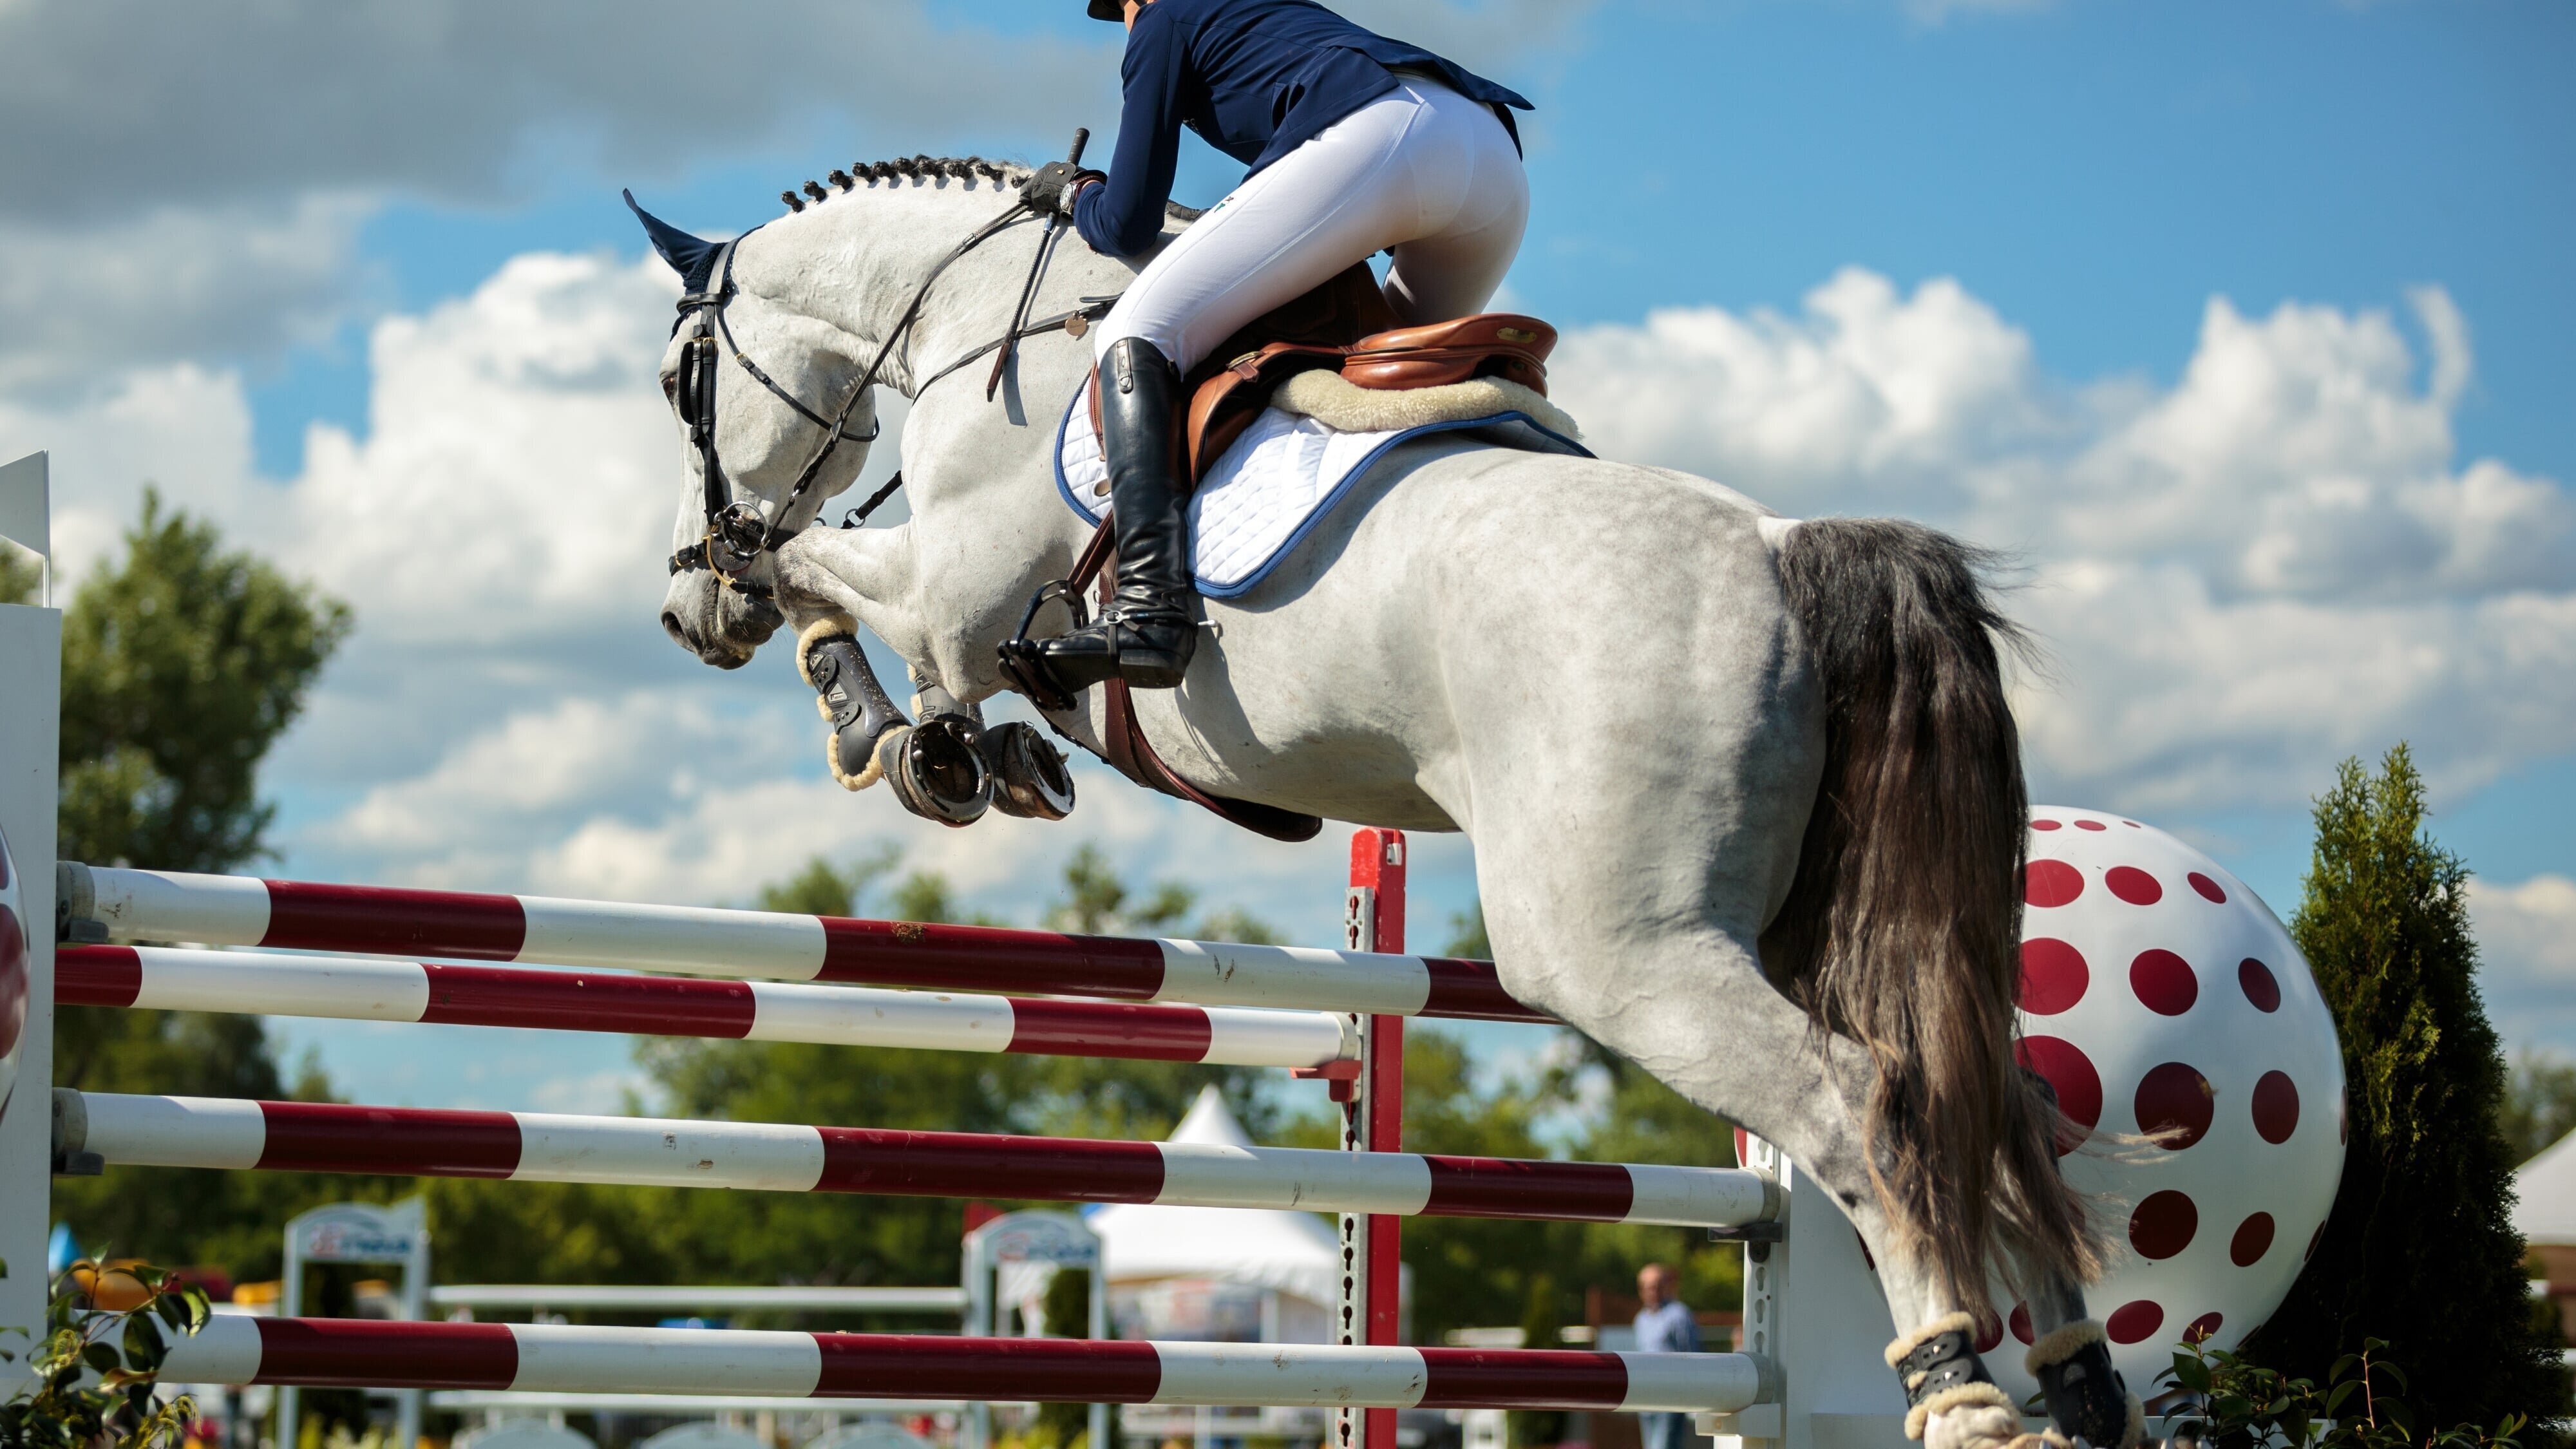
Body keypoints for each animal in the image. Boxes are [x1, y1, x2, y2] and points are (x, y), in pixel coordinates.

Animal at [644, 158, 2133, 1443]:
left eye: (678, 380)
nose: (676, 612)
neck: (983, 319)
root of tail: (1784, 550)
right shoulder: (960, 616)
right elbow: (855, 611)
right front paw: (970, 754)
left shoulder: (947, 591)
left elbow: (810, 576)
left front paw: (884, 733)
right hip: (1787, 930)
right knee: (1991, 1098)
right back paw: (2077, 1381)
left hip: (1622, 953)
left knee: (1860, 1101)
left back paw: (1960, 1393)